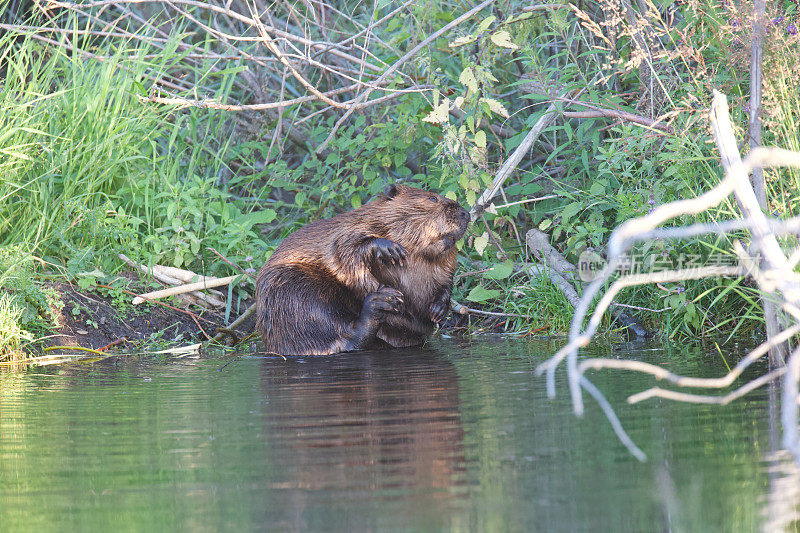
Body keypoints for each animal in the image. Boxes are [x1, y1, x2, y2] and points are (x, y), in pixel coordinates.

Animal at [255, 185, 468, 356]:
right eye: (432, 198)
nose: (466, 213)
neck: (421, 256)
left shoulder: (445, 262)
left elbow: (446, 279)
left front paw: (438, 309)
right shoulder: (347, 229)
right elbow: (344, 250)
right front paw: (388, 249)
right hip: (293, 289)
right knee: (339, 331)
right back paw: (380, 301)